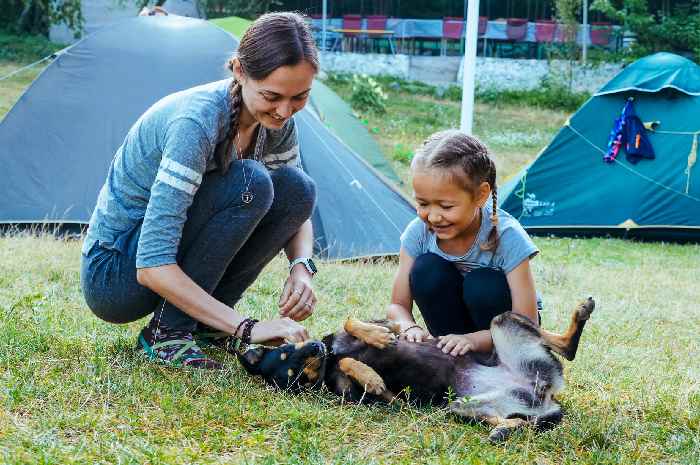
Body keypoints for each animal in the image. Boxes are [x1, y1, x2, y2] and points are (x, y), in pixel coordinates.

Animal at [238, 298, 592, 442]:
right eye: (295, 374)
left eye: (287, 351)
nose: (316, 349)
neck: (331, 358)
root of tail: (544, 394)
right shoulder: (385, 399)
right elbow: (356, 369)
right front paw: (370, 375)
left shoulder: (393, 323)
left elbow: (352, 321)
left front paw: (376, 341)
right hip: (460, 407)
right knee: (519, 422)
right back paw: (504, 431)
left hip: (503, 322)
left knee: (567, 347)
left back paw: (581, 313)